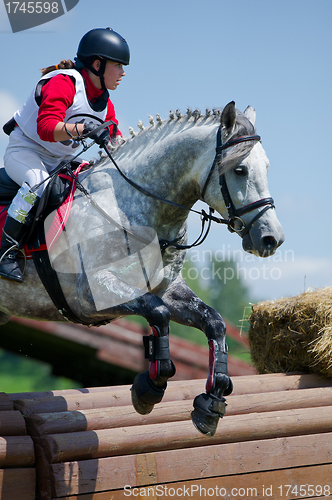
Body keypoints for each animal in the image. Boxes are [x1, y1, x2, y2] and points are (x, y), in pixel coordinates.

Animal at [0, 102, 286, 434]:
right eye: (240, 170)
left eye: (267, 167)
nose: (272, 239)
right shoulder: (90, 296)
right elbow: (158, 314)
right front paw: (149, 388)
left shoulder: (168, 289)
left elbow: (214, 322)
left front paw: (212, 401)